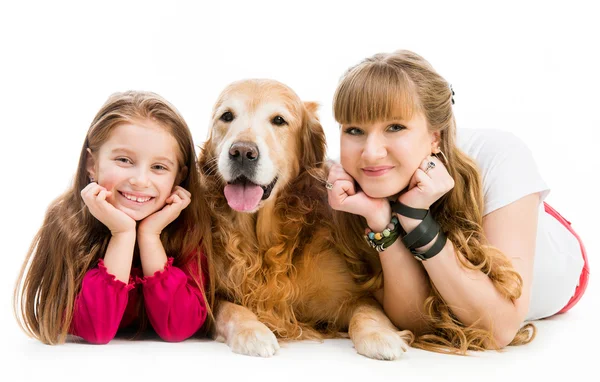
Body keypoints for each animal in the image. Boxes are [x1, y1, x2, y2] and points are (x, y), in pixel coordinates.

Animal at [197, 78, 412, 358]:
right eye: (227, 116)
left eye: (279, 120)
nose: (242, 152)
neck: (264, 241)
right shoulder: (213, 298)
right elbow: (232, 309)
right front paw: (252, 331)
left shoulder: (348, 296)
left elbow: (367, 311)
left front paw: (380, 336)